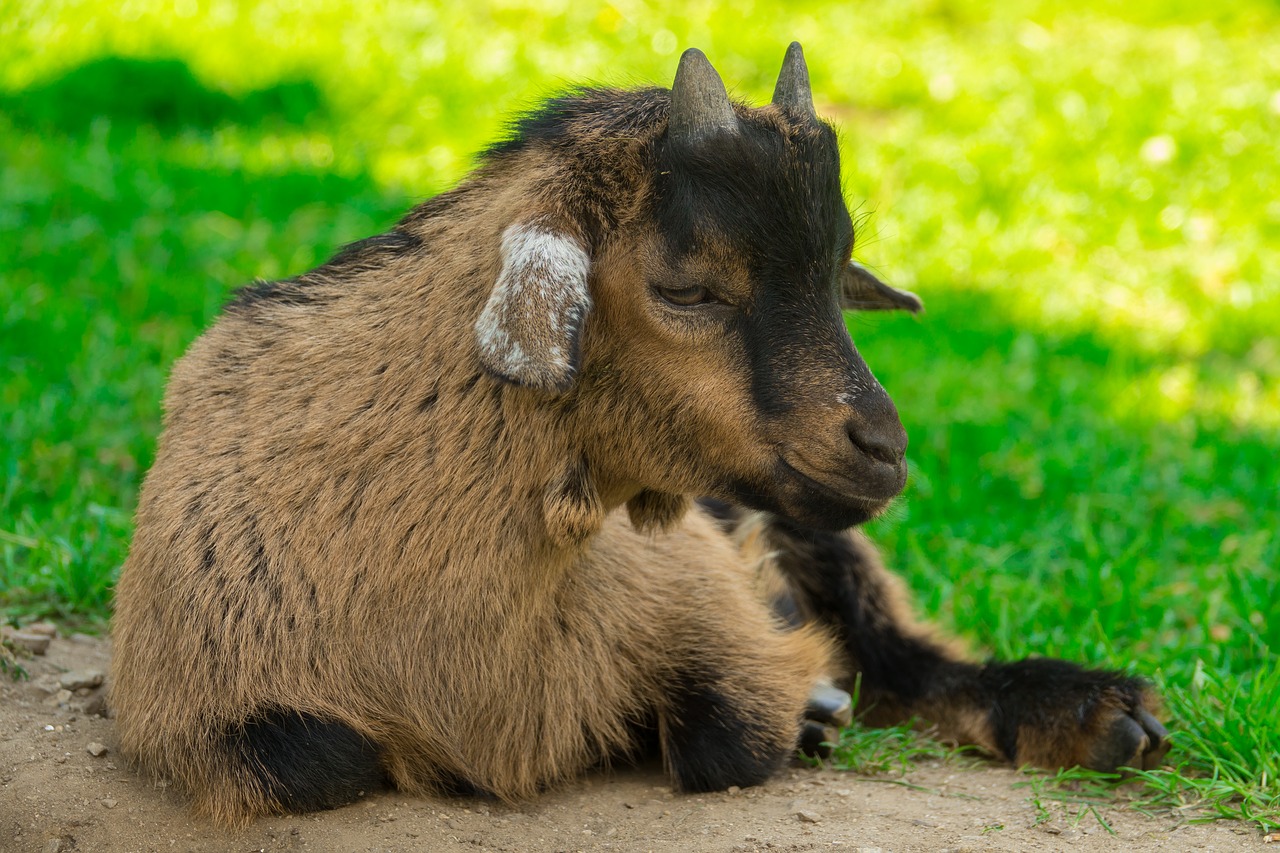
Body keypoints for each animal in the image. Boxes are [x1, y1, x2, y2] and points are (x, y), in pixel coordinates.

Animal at [112, 46, 1172, 824]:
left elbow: (728, 736)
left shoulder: (694, 579)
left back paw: (1097, 714)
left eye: (840, 275)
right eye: (686, 288)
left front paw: (799, 707)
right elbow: (319, 759)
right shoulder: (198, 709)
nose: (883, 447)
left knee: (903, 652)